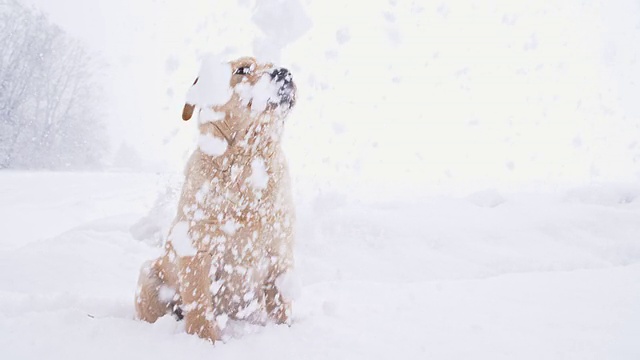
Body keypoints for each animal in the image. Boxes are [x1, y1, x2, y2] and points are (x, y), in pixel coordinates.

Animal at [134, 57, 298, 344]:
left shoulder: (280, 252)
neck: (246, 164)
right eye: (242, 70)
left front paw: (285, 332)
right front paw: (207, 342)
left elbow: (280, 304)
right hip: (148, 276)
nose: (284, 73)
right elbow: (200, 307)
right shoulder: (198, 249)